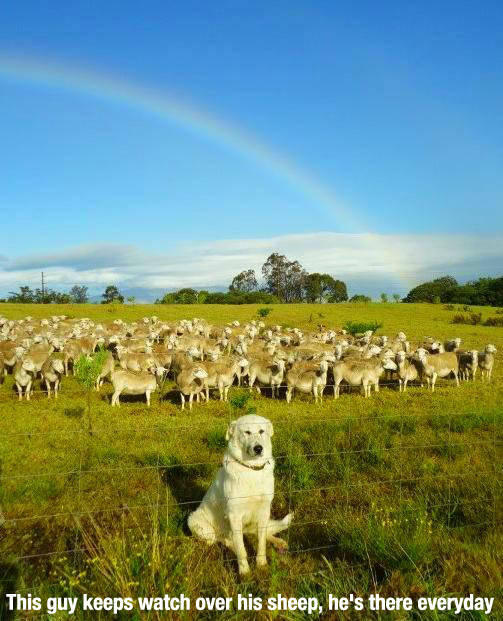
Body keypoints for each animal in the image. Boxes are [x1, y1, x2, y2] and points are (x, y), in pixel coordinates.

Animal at [188, 414, 292, 572]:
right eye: (247, 432)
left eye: (261, 431)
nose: (258, 448)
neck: (251, 470)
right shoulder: (234, 516)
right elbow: (242, 549)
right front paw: (244, 572)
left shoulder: (264, 510)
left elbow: (261, 541)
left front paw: (261, 564)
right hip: (198, 524)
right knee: (222, 539)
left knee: (260, 532)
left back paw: (278, 542)